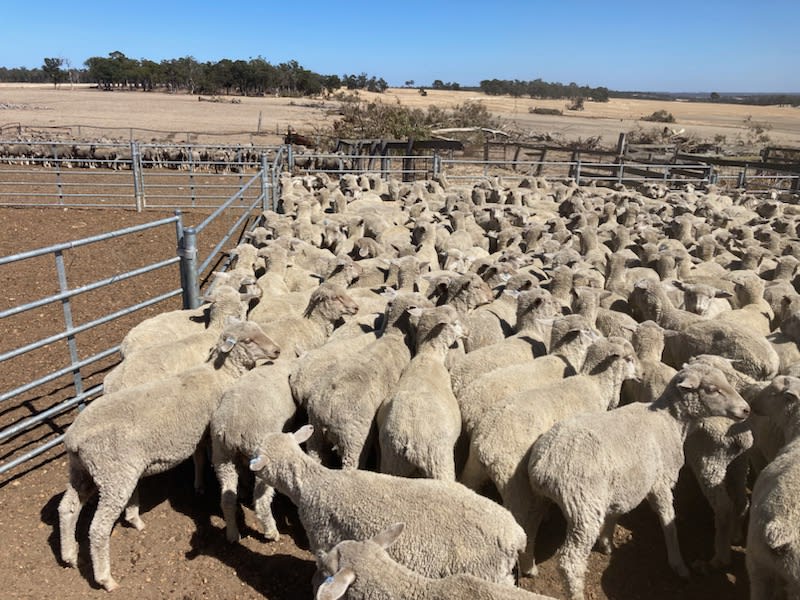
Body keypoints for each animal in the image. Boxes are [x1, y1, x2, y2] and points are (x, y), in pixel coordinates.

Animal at [57, 318, 280, 591]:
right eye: (248, 340)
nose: (277, 351)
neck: (220, 374)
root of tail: (73, 438)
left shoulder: (197, 434)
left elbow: (198, 458)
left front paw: (198, 485)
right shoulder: (210, 435)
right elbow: (208, 460)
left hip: (84, 471)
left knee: (67, 508)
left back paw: (70, 555)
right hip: (113, 476)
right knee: (98, 529)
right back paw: (105, 579)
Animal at [377, 305, 465, 480]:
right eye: (455, 323)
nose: (466, 332)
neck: (428, 356)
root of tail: (410, 439)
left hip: (392, 464)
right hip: (439, 463)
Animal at [468, 337, 639, 576]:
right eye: (629, 358)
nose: (641, 374)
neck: (594, 384)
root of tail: (485, 442)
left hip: (473, 467)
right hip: (514, 483)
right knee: (521, 522)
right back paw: (528, 566)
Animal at [527, 362, 751, 600]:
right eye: (711, 389)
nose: (746, 410)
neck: (670, 421)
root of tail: (545, 462)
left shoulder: (623, 482)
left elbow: (614, 513)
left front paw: (606, 543)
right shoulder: (661, 482)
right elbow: (668, 520)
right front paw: (678, 564)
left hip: (539, 497)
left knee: (528, 528)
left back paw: (529, 565)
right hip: (583, 504)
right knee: (570, 561)